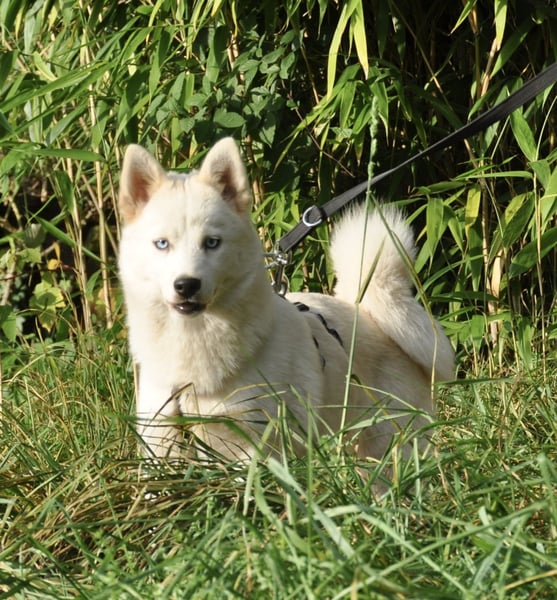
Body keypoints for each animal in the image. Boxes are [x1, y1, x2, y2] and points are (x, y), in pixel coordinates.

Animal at [118, 137, 455, 463]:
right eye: (162, 244)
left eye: (212, 243)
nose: (186, 285)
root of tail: (368, 313)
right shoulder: (160, 440)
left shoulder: (256, 446)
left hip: (393, 446)